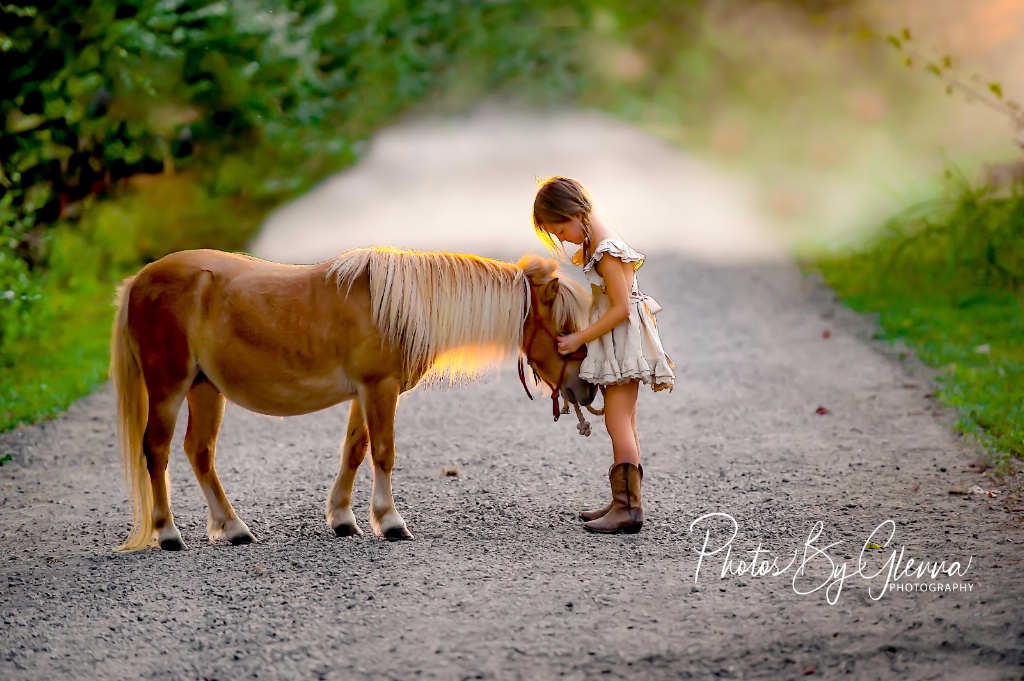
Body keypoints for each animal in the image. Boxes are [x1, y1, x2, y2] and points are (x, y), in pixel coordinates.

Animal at [109, 246, 598, 548]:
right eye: (565, 329)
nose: (587, 387)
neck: (401, 306)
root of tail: (138, 281)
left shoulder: (364, 394)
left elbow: (355, 451)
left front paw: (343, 518)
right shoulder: (379, 388)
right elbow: (383, 453)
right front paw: (391, 521)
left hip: (205, 390)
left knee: (199, 453)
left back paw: (233, 528)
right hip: (169, 388)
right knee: (157, 451)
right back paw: (168, 533)